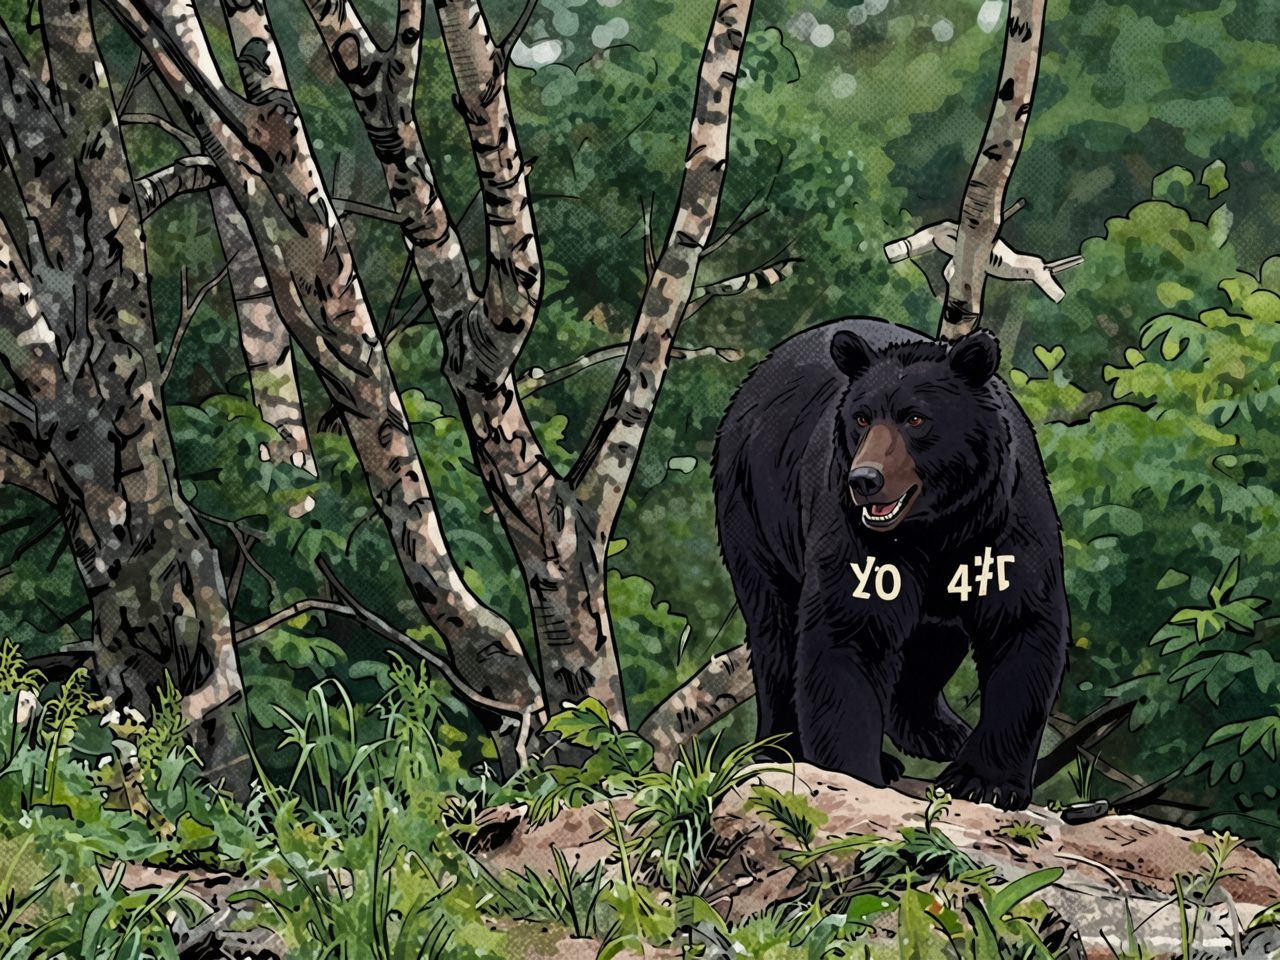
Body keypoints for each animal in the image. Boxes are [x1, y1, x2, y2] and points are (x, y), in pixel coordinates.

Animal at [712, 316, 1069, 810]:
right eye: (862, 417)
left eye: (915, 418)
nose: (865, 479)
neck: (938, 526)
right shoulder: (856, 533)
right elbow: (850, 628)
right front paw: (855, 772)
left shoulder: (1005, 521)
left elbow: (1021, 624)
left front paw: (984, 781)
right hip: (754, 506)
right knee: (775, 630)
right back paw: (781, 747)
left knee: (932, 641)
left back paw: (936, 731)